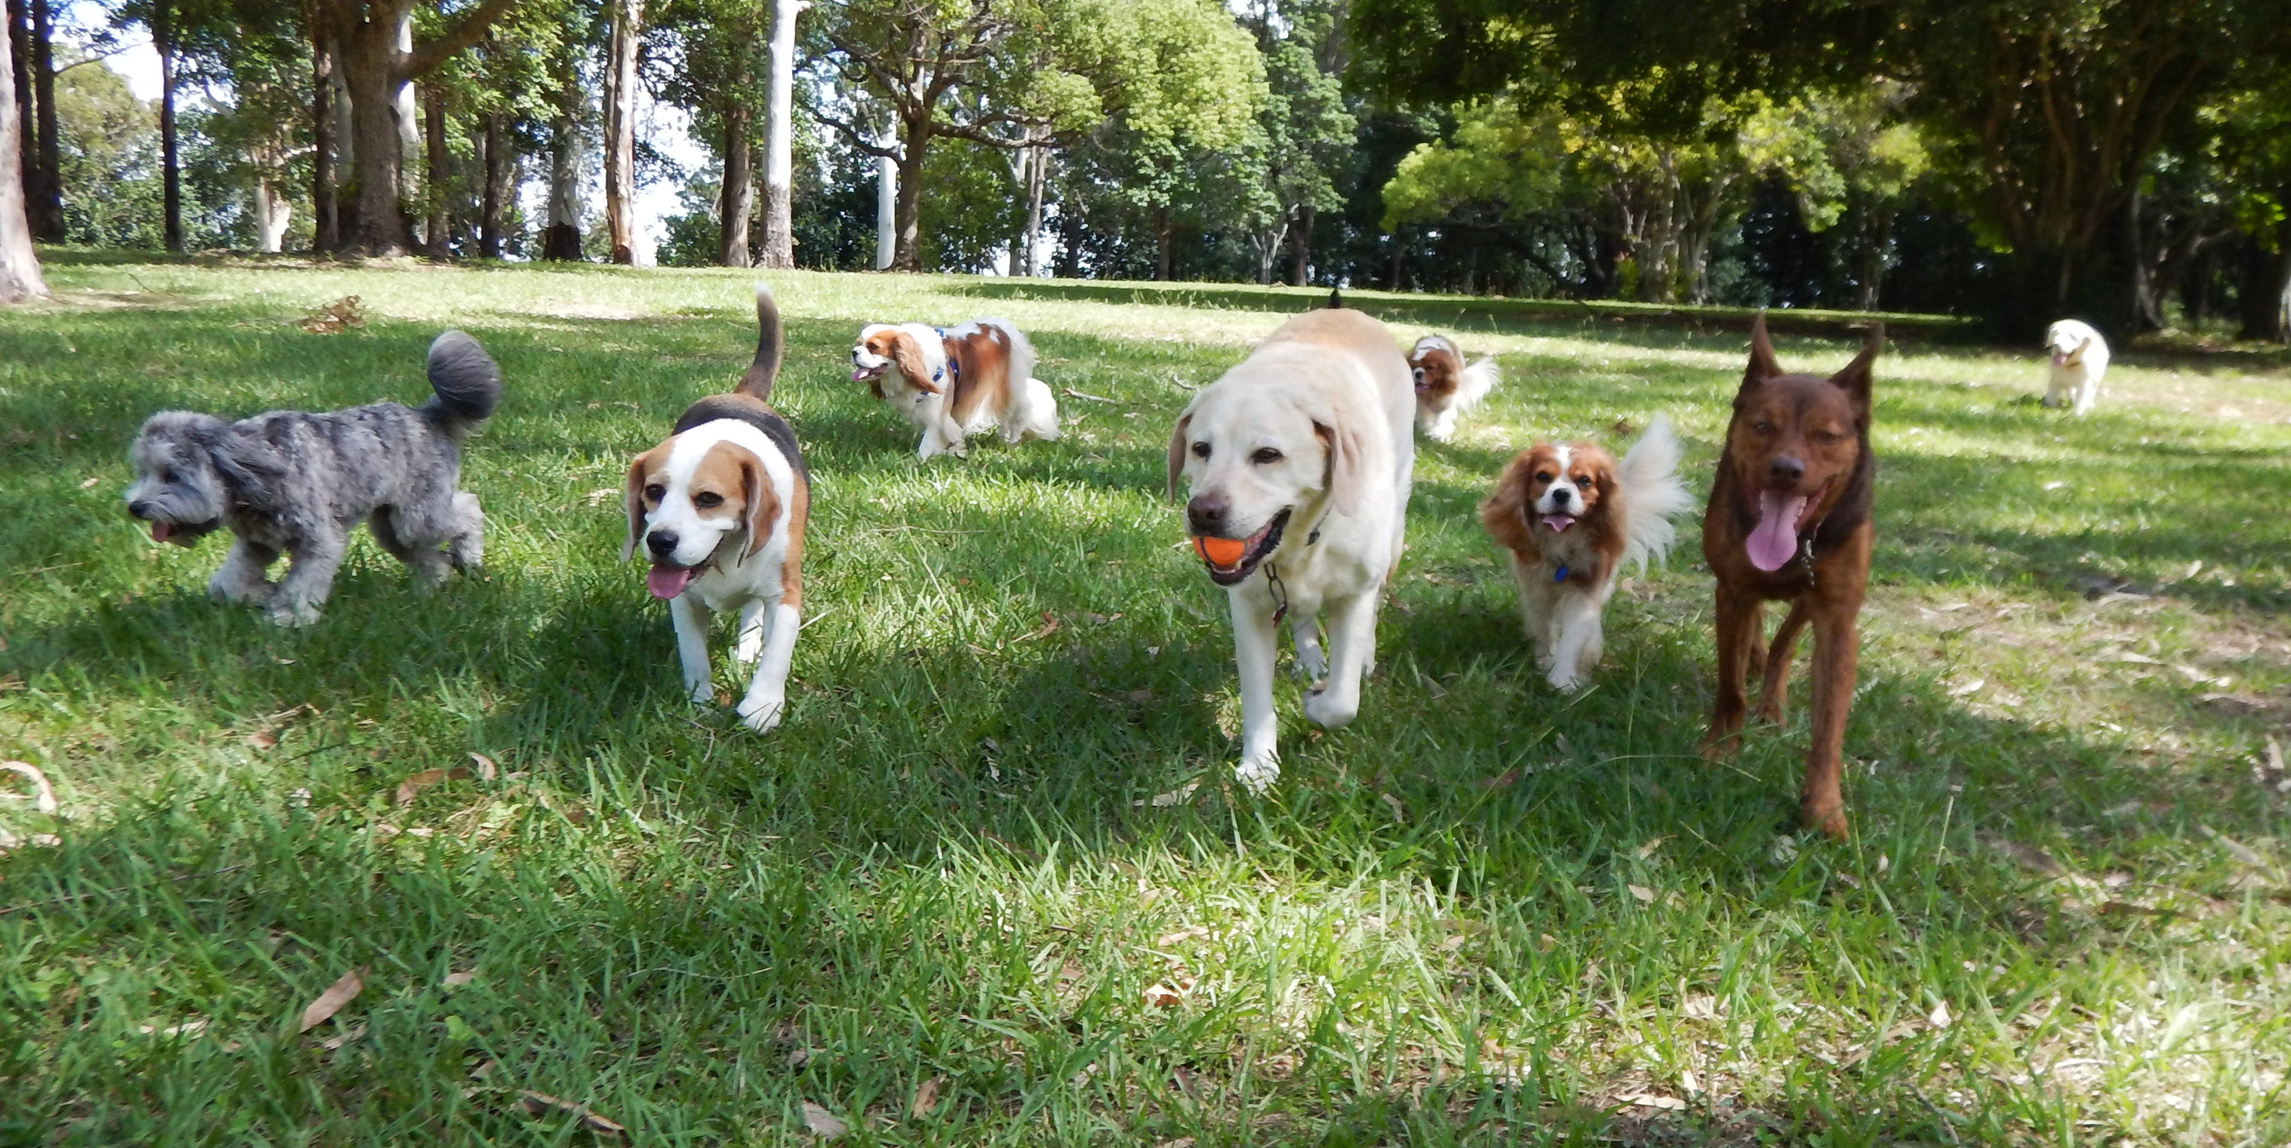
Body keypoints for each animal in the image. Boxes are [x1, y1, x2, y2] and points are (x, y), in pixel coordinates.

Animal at [125, 332, 501, 623]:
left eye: (171, 475)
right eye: (142, 472)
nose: (135, 508)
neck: (255, 473)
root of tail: (427, 415)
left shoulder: (319, 542)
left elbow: (300, 586)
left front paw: (287, 617)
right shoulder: (256, 544)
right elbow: (228, 583)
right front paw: (261, 593)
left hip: (418, 517)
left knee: (469, 508)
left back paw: (469, 558)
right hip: (391, 527)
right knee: (431, 557)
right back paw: (430, 587)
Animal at [1704, 313, 1878, 834]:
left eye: (1827, 436)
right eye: (1763, 425)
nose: (1785, 469)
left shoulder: (1837, 618)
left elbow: (1829, 727)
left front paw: (1823, 809)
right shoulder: (1732, 591)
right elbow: (1729, 686)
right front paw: (1719, 749)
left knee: (1784, 641)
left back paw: (1772, 699)